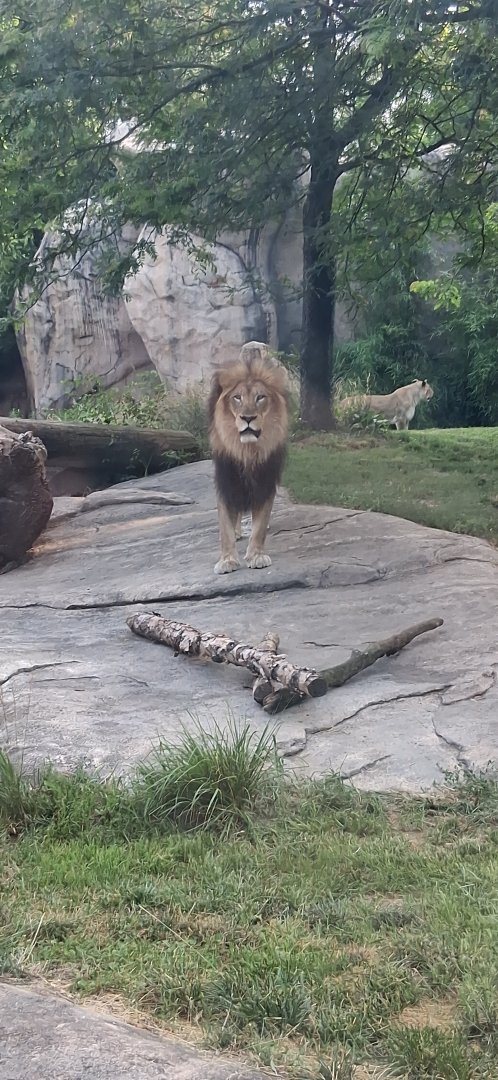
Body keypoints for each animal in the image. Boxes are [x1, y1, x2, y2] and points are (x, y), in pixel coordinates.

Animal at [208, 343, 289, 575]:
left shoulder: (266, 478)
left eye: (260, 397)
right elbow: (225, 524)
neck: (248, 451)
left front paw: (256, 555)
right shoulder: (226, 477)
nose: (248, 418)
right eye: (237, 398)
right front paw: (227, 560)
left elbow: (260, 525)